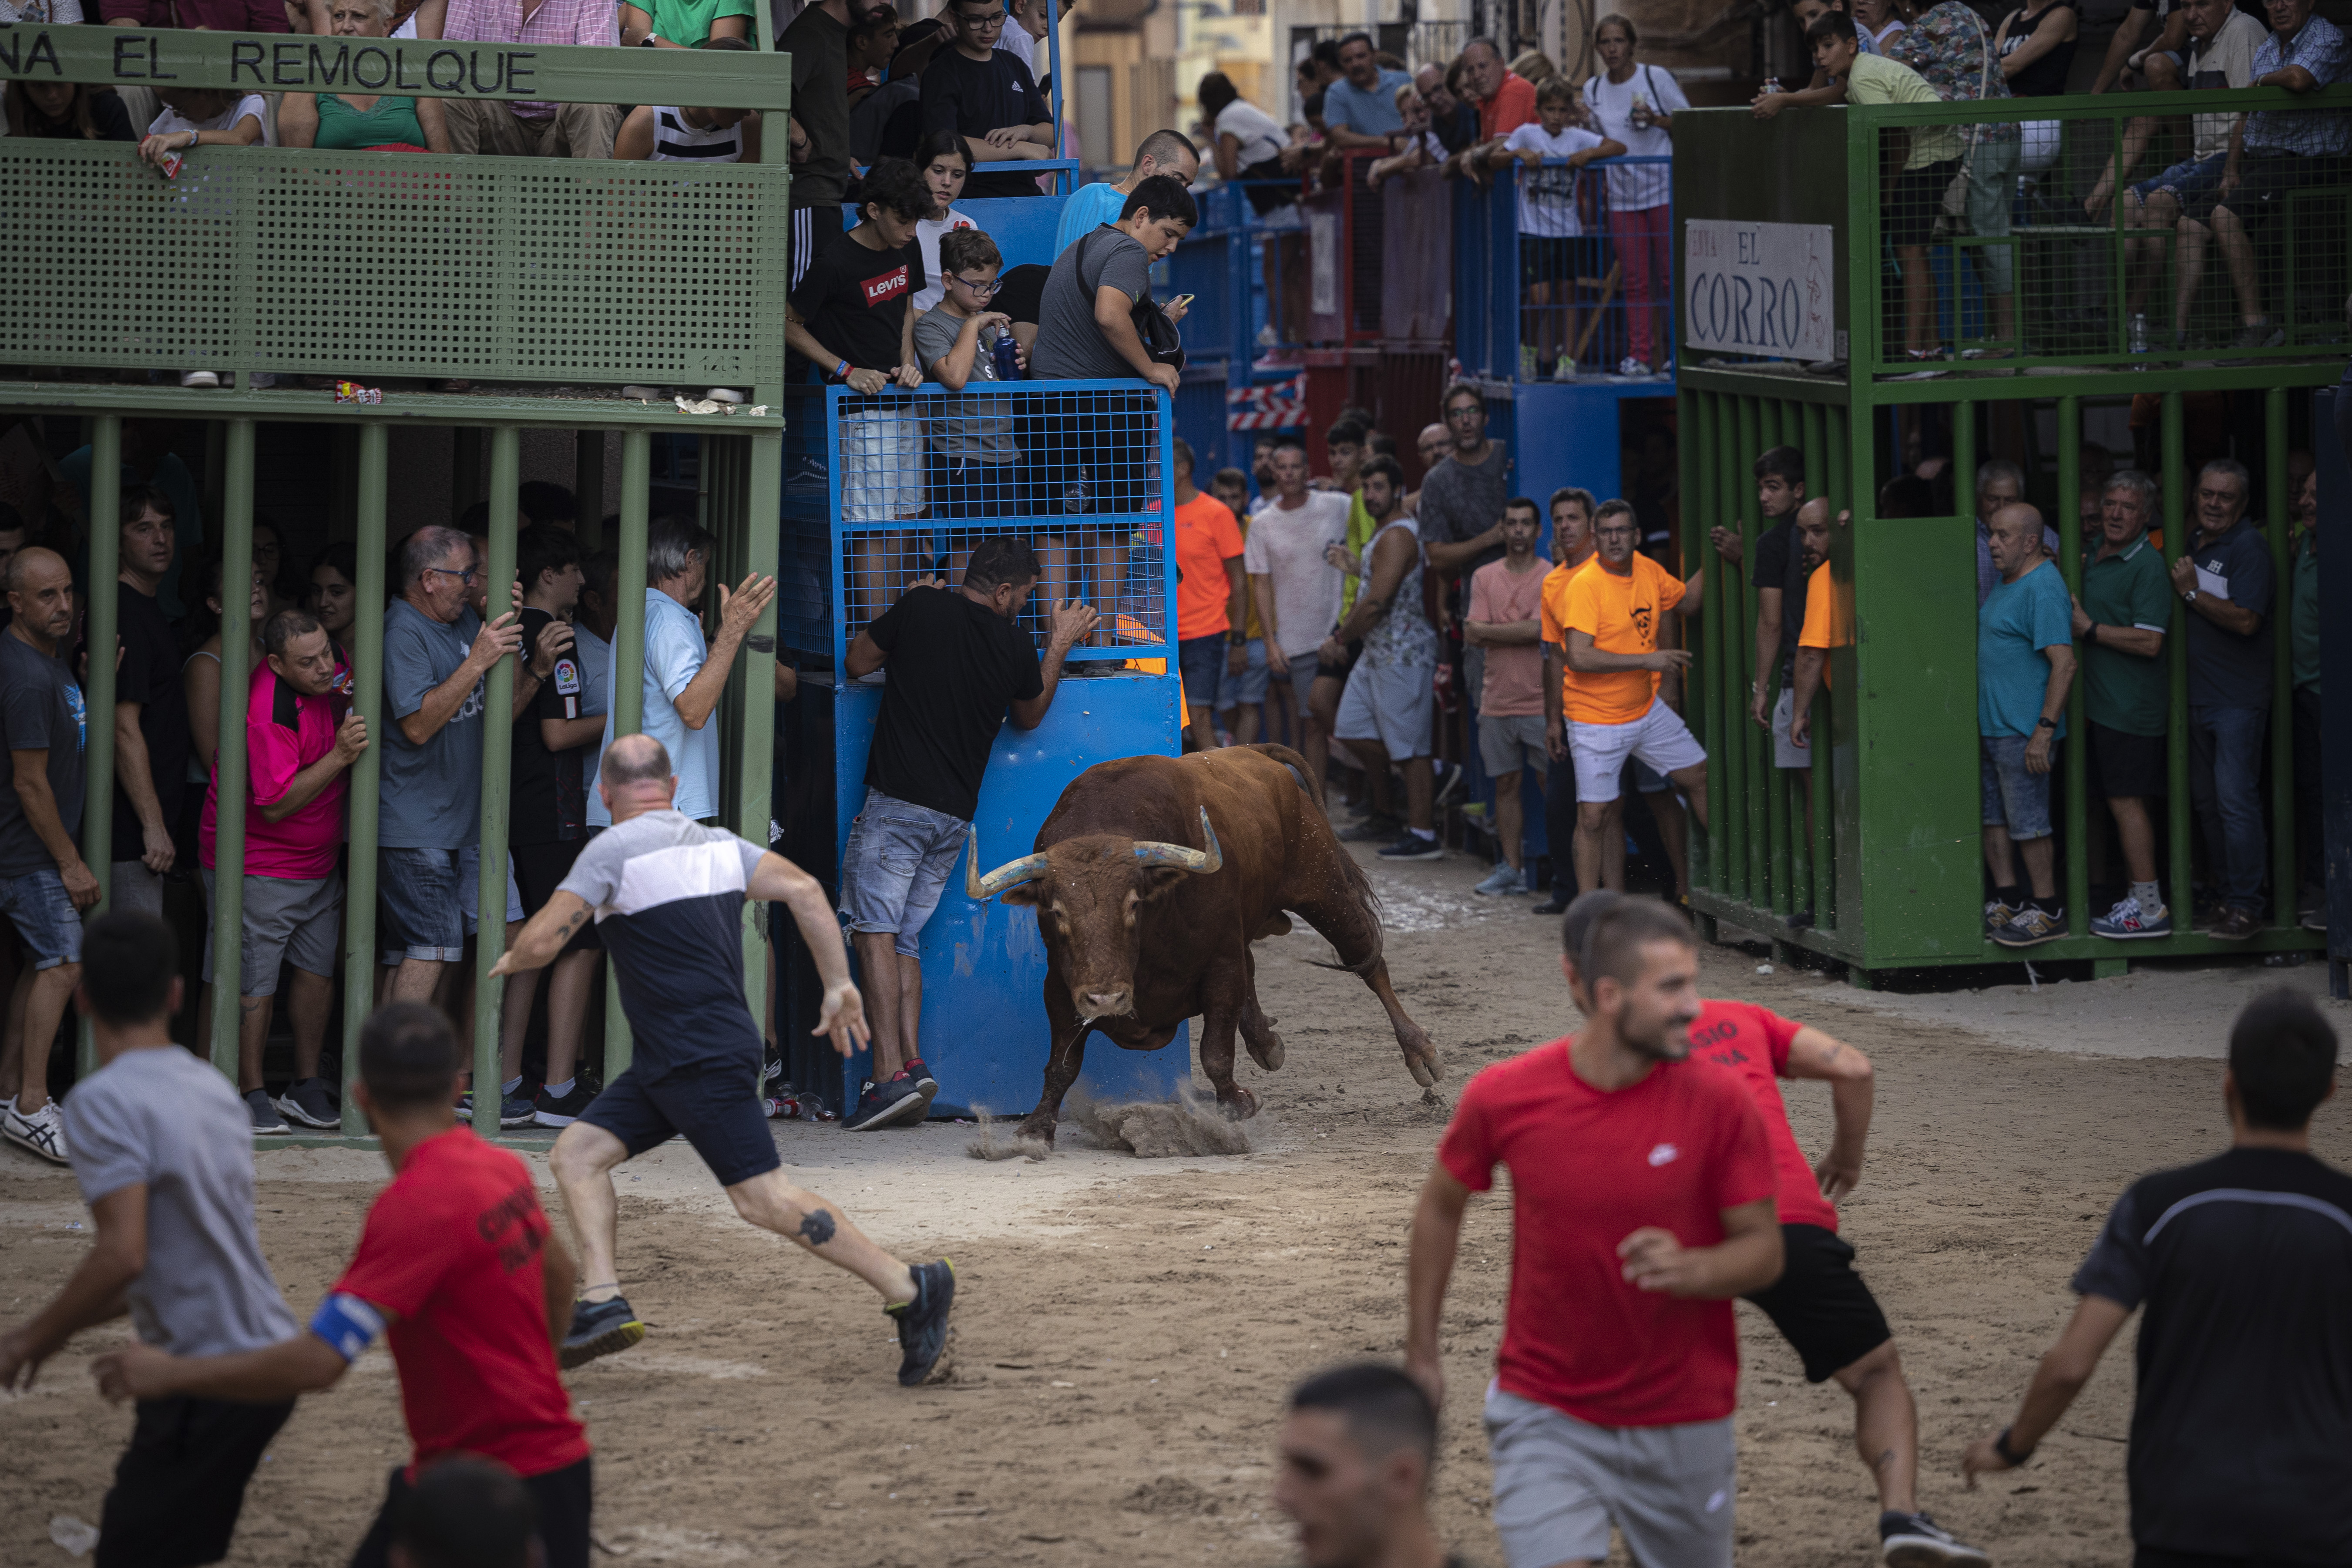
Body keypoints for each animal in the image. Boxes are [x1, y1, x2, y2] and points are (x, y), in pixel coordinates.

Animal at [955, 742, 1430, 1147]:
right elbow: (1061, 1064)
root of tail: (1257, 755)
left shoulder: (1220, 965)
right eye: (1056, 912)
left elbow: (1215, 1052)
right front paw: (1036, 1129)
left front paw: (1236, 1108)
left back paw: (1421, 1054)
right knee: (1259, 965)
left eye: (1134, 903)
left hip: (1323, 887)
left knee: (1368, 961)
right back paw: (1266, 1042)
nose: (1105, 999)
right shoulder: (1061, 985)